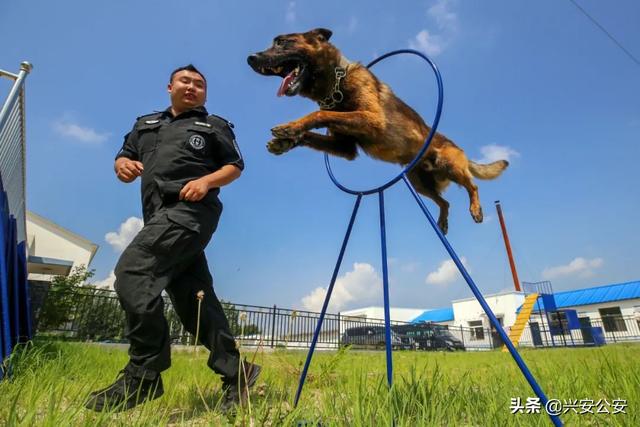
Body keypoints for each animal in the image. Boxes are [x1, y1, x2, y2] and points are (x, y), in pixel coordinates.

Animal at [248, 28, 508, 236]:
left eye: (282, 42)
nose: (251, 58)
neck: (336, 84)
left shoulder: (372, 119)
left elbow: (320, 115)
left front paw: (291, 126)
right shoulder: (345, 147)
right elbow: (315, 131)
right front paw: (285, 141)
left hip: (449, 164)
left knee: (473, 186)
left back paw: (476, 209)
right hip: (419, 183)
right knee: (445, 203)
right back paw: (442, 222)